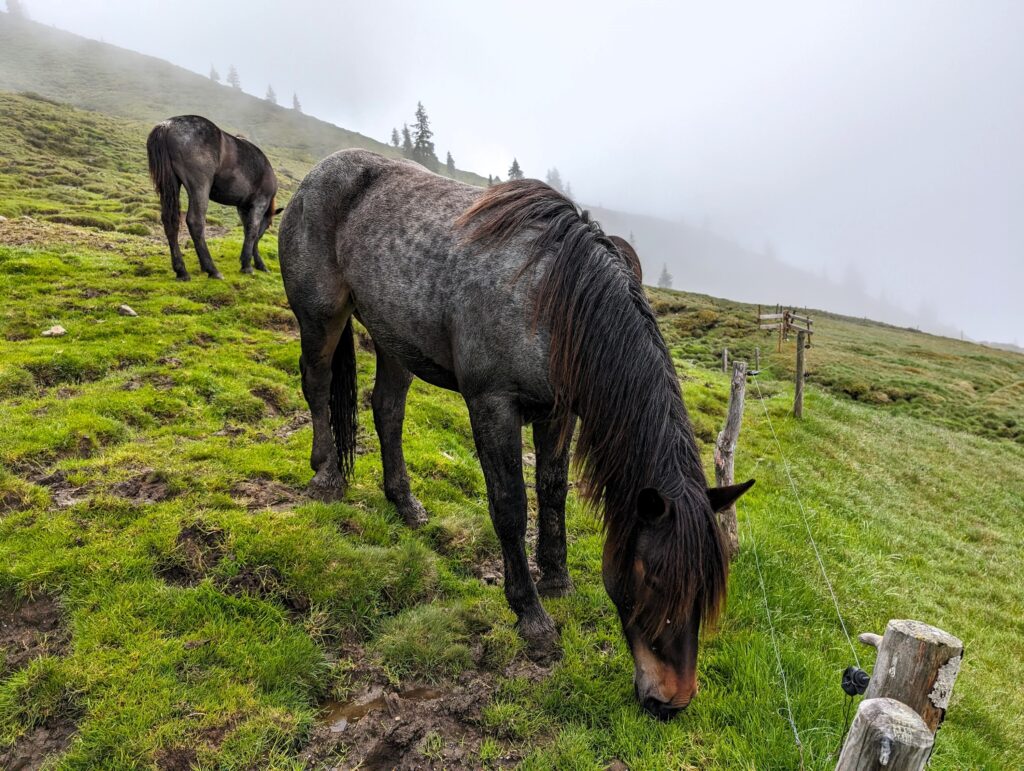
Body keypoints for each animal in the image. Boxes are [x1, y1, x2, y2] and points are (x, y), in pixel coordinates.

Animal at [146, 115, 282, 280]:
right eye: (268, 226)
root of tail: (167, 125)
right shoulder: (259, 202)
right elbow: (252, 231)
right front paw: (249, 266)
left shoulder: (242, 207)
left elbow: (247, 230)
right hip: (200, 187)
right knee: (195, 221)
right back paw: (212, 269)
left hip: (171, 185)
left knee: (170, 221)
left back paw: (182, 271)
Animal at [280, 151, 753, 720]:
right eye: (653, 578)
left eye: (708, 588)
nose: (673, 701)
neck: (554, 300)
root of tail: (318, 175)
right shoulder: (492, 405)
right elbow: (509, 506)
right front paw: (531, 616)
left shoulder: (558, 412)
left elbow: (551, 491)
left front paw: (557, 578)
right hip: (322, 317)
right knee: (317, 384)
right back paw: (326, 476)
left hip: (395, 339)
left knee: (387, 411)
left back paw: (406, 504)